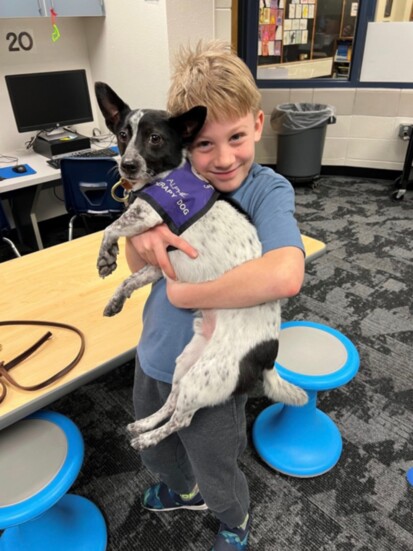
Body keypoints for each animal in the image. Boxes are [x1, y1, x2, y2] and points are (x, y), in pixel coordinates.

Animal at [94, 83, 306, 452]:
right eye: (122, 134)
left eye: (155, 138)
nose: (127, 166)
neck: (167, 174)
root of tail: (267, 358)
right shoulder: (159, 263)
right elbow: (129, 281)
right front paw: (115, 301)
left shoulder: (148, 215)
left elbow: (111, 227)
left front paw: (106, 257)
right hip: (186, 363)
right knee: (171, 401)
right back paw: (144, 424)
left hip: (203, 378)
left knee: (182, 419)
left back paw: (147, 439)